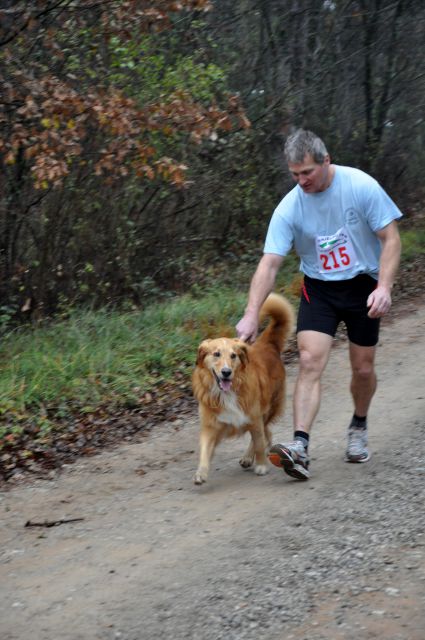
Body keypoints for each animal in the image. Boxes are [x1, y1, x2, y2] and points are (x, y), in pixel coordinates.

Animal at [191, 296, 294, 484]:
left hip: (267, 408)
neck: (226, 393)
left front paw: (261, 465)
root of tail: (268, 344)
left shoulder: (254, 416)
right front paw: (201, 472)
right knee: (267, 434)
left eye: (233, 355)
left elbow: (258, 442)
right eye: (216, 354)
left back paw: (249, 456)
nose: (226, 372)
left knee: (263, 435)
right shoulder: (210, 425)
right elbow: (205, 449)